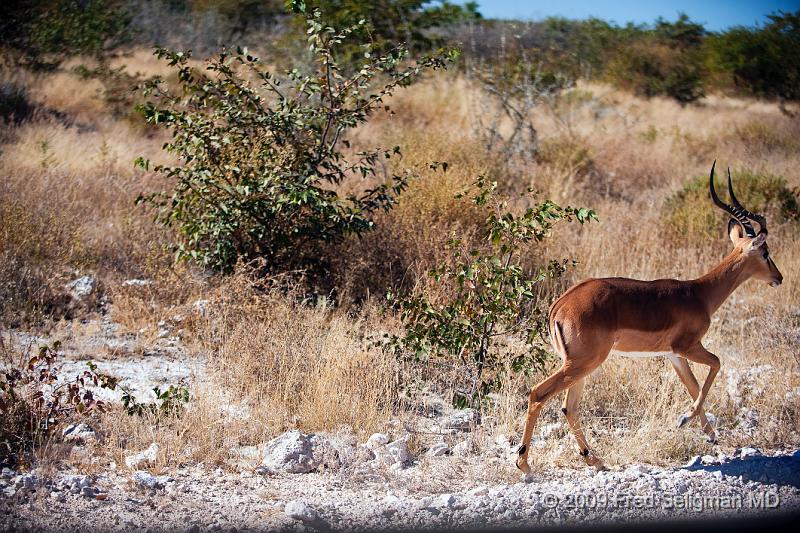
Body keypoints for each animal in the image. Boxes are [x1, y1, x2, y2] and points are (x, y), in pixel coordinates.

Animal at [516, 162, 784, 474]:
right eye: (765, 252)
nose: (778, 277)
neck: (699, 293)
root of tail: (559, 306)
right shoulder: (687, 346)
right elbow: (717, 364)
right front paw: (685, 421)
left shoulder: (674, 355)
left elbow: (693, 386)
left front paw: (710, 435)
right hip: (584, 362)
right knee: (538, 394)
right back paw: (524, 464)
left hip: (579, 365)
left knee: (569, 407)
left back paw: (596, 460)